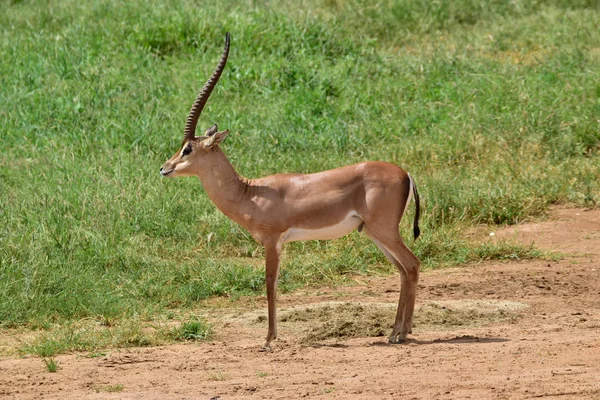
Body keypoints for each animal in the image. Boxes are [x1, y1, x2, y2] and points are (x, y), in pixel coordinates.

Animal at [161, 32, 422, 352]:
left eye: (188, 148)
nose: (164, 168)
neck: (249, 193)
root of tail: (406, 173)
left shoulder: (272, 241)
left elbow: (270, 283)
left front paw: (268, 339)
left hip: (384, 230)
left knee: (412, 265)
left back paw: (401, 333)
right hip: (374, 232)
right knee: (403, 270)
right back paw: (396, 331)